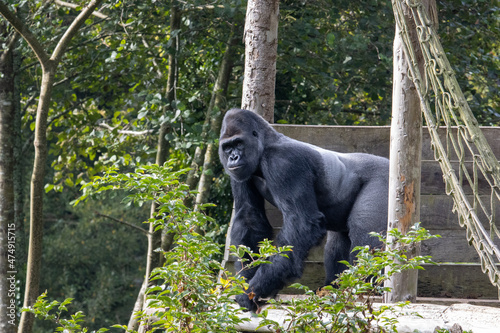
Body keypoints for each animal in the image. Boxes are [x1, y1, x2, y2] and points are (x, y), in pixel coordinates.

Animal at [217, 107, 388, 310]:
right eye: (227, 147)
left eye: (239, 143)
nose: (233, 157)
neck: (266, 145)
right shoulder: (239, 174)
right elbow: (249, 218)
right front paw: (245, 280)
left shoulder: (284, 162)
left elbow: (301, 224)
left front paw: (254, 290)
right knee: (337, 243)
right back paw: (334, 288)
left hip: (383, 179)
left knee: (365, 236)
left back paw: (365, 289)